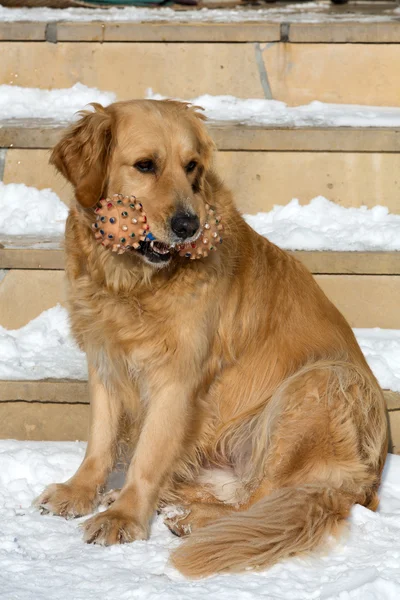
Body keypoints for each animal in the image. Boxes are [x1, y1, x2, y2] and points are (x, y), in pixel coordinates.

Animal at [35, 98, 388, 576]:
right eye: (145, 165)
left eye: (192, 167)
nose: (189, 225)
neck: (134, 283)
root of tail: (367, 484)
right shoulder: (105, 358)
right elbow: (101, 439)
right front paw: (82, 490)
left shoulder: (178, 377)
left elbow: (148, 453)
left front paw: (124, 516)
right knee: (240, 492)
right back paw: (165, 500)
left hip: (318, 383)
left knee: (261, 500)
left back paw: (189, 518)